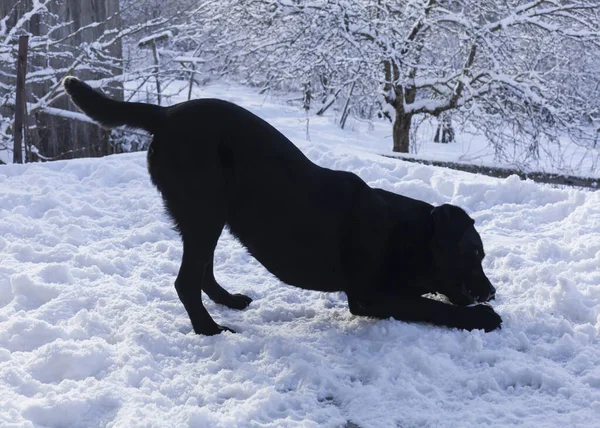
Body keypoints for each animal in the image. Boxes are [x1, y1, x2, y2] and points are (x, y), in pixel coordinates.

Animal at [63, 77, 502, 334]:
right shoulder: (368, 294)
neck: (402, 234)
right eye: (474, 253)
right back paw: (210, 329)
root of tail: (167, 113)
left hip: (213, 214)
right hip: (204, 209)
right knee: (185, 281)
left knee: (203, 271)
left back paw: (228, 301)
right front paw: (481, 318)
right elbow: (432, 307)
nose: (492, 292)